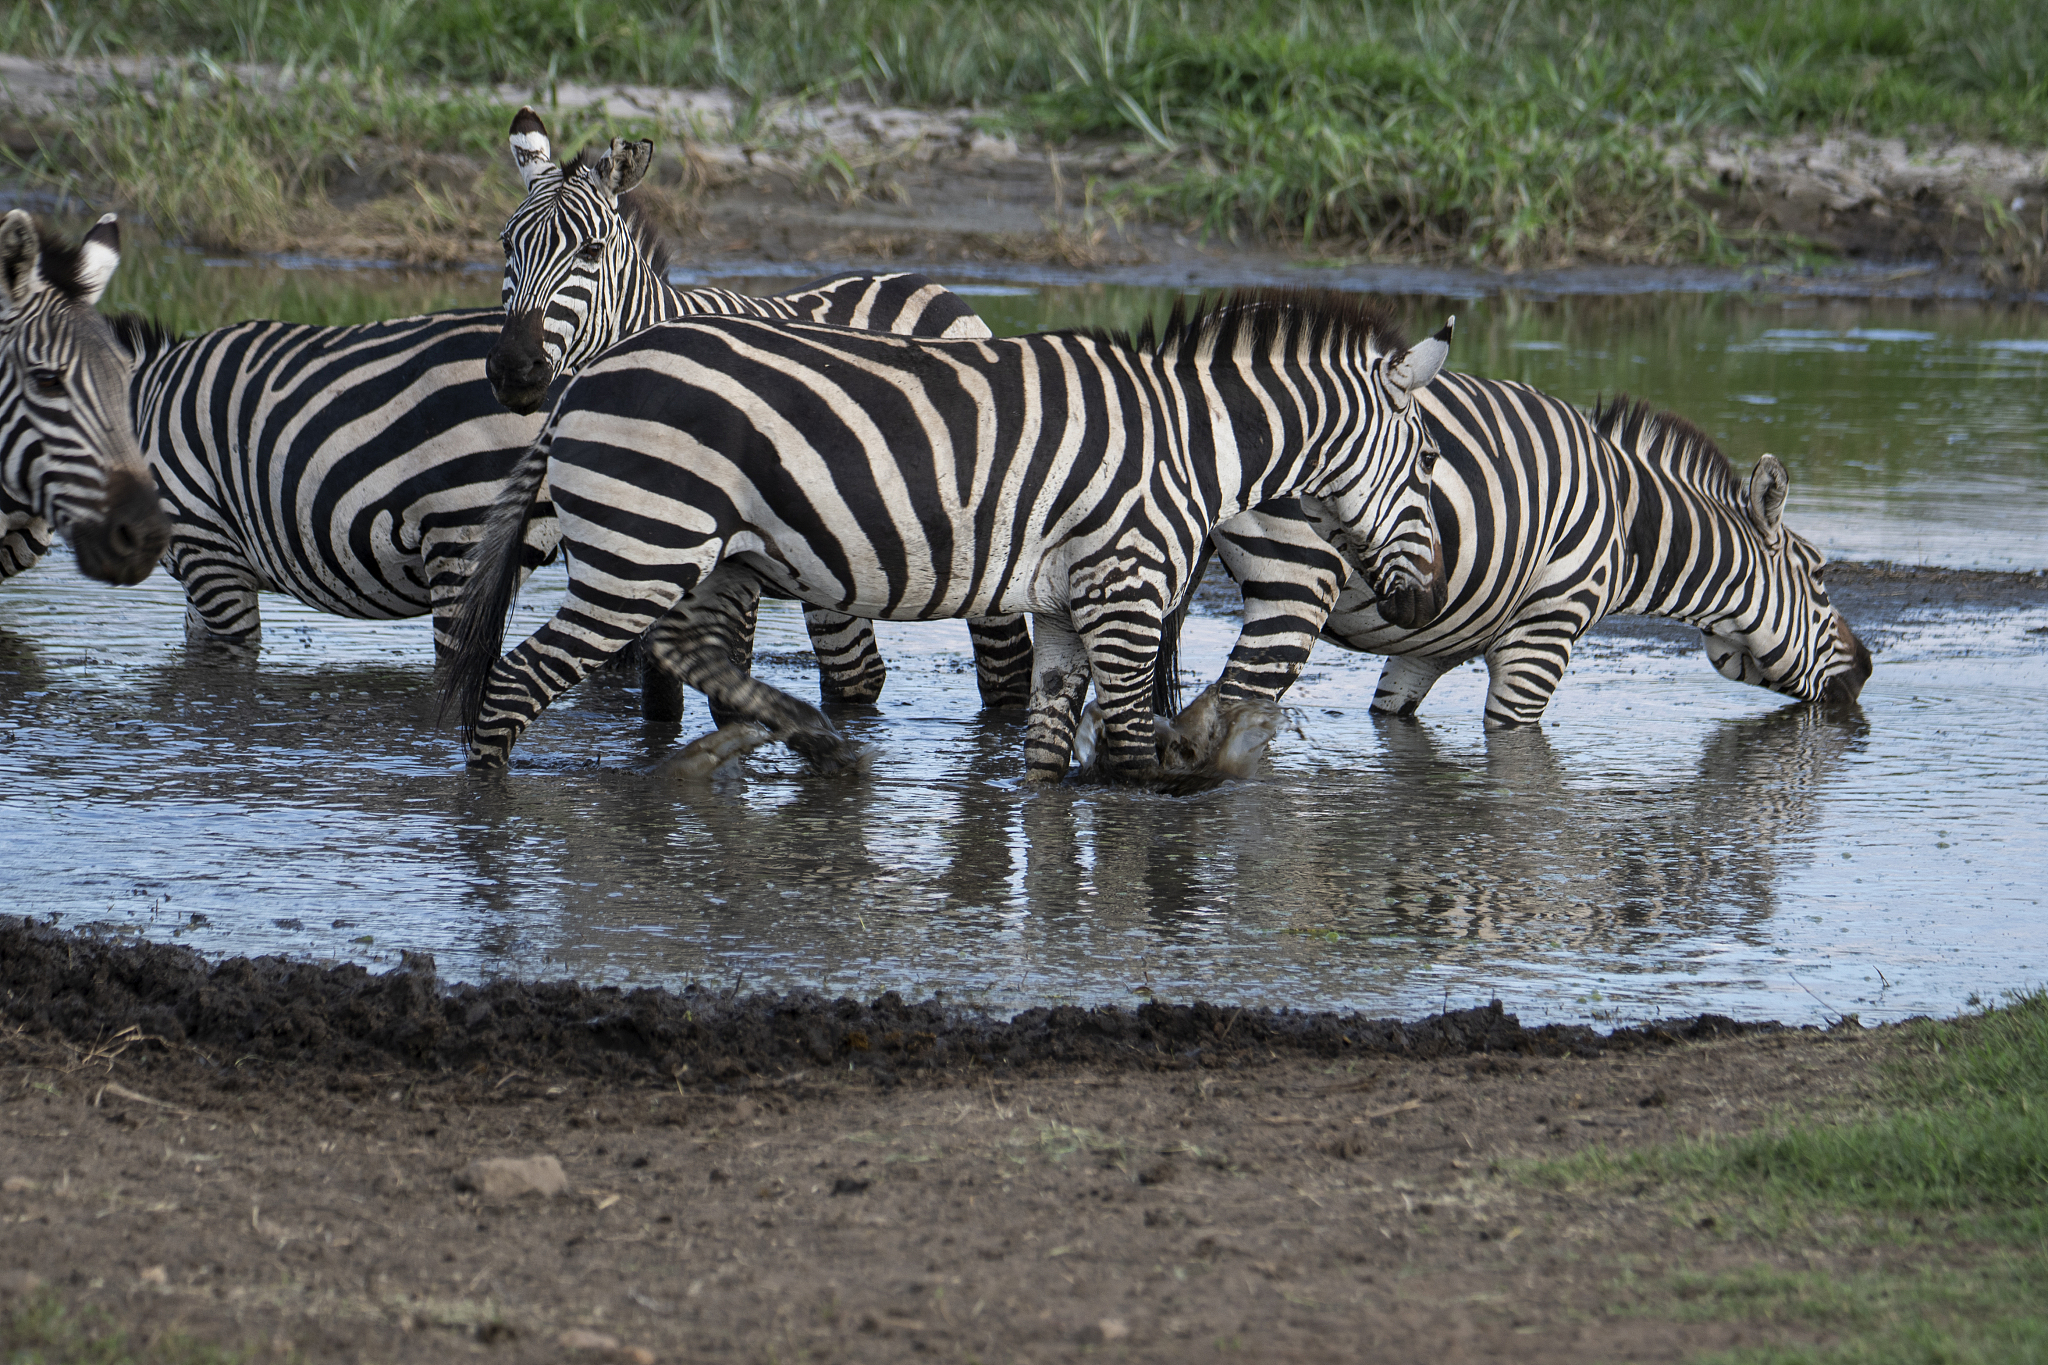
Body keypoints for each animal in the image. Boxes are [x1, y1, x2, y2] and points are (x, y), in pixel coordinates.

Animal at [445, 289, 1453, 784]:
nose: (1425, 599)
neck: (1190, 440)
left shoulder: (1068, 608)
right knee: (519, 685)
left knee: (682, 646)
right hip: (646, 543)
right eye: (1432, 462)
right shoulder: (1125, 594)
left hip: (700, 553)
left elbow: (1047, 760)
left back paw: (811, 742)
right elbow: (1130, 756)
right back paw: (486, 815)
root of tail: (578, 386)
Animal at [484, 106, 1035, 710]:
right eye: (506, 246)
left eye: (590, 251)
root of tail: (927, 281)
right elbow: (658, 702)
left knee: (1008, 671)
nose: (514, 369)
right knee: (856, 674)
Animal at [1175, 375, 1870, 732]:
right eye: (1819, 576)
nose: (1866, 671)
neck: (1630, 532)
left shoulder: (1427, 652)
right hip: (1295, 576)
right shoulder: (1540, 640)